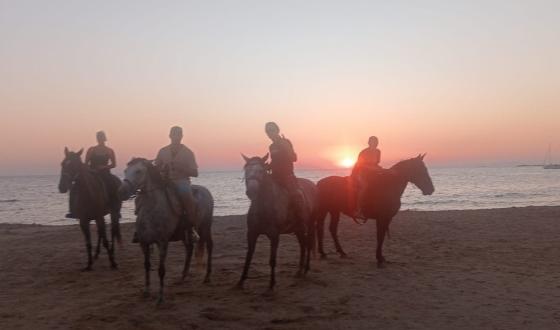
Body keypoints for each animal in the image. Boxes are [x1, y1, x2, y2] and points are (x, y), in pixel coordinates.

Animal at [118, 159, 214, 306]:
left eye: (139, 171)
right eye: (125, 170)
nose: (122, 191)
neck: (152, 210)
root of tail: (206, 191)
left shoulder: (162, 243)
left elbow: (161, 270)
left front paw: (160, 298)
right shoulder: (144, 243)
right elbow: (147, 266)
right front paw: (146, 292)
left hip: (205, 226)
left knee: (209, 245)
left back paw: (207, 276)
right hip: (185, 233)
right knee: (189, 249)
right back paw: (183, 277)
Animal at [236, 153, 318, 292]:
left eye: (261, 170)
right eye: (246, 170)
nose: (251, 191)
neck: (265, 205)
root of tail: (313, 185)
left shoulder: (274, 236)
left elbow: (272, 260)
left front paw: (271, 284)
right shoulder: (252, 233)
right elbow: (248, 257)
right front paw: (241, 281)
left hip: (310, 225)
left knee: (308, 244)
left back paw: (306, 269)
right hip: (298, 229)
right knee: (303, 245)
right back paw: (299, 271)